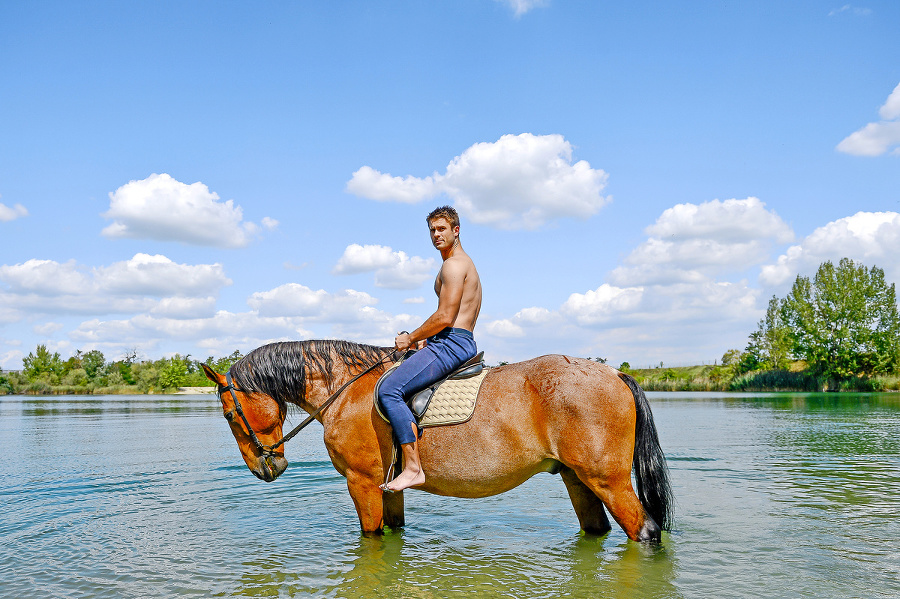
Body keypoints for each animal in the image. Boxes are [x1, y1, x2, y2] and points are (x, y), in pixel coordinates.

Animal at [200, 340, 672, 540]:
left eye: (228, 414)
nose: (267, 468)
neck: (347, 391)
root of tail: (614, 373)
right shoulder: (387, 488)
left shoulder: (361, 483)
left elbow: (371, 541)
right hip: (578, 479)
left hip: (608, 480)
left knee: (645, 531)